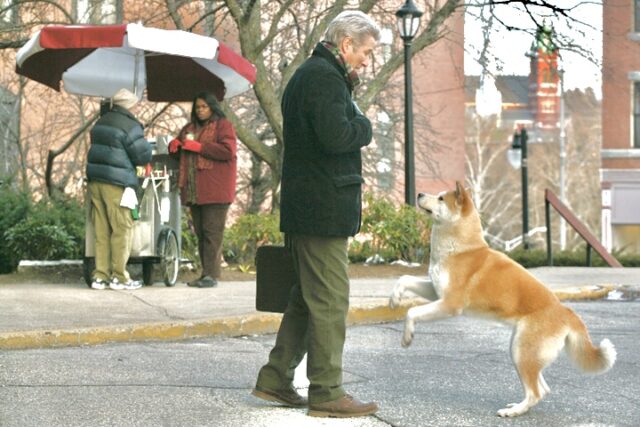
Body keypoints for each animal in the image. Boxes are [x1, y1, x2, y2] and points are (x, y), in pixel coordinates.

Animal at [388, 181, 616, 418]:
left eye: (441, 198)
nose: (419, 193)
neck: (461, 249)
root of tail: (566, 312)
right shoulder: (435, 292)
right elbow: (404, 279)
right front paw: (395, 298)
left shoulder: (450, 304)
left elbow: (412, 312)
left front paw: (407, 337)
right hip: (520, 350)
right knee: (542, 389)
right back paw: (518, 407)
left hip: (521, 352)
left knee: (535, 391)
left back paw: (513, 412)